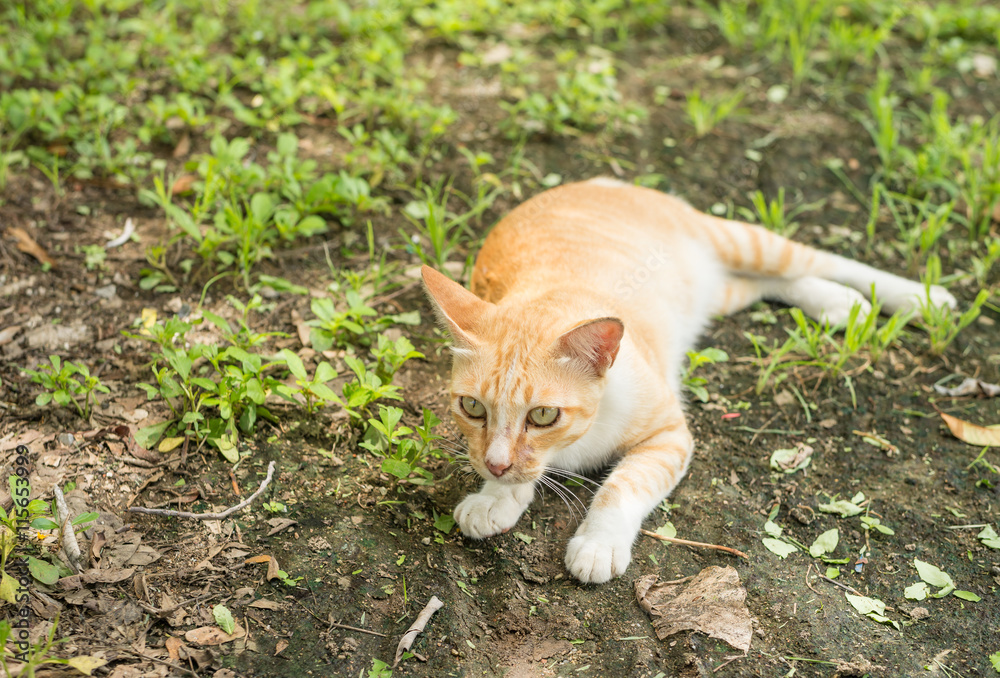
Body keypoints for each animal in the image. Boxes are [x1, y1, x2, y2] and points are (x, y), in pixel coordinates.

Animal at [420, 179, 952, 584]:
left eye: (544, 415)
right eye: (472, 408)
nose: (496, 463)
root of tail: (592, 181)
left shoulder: (670, 436)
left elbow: (621, 486)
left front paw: (597, 544)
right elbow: (523, 473)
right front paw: (496, 497)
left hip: (743, 243)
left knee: (822, 260)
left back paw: (920, 297)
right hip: (719, 293)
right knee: (773, 283)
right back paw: (840, 304)